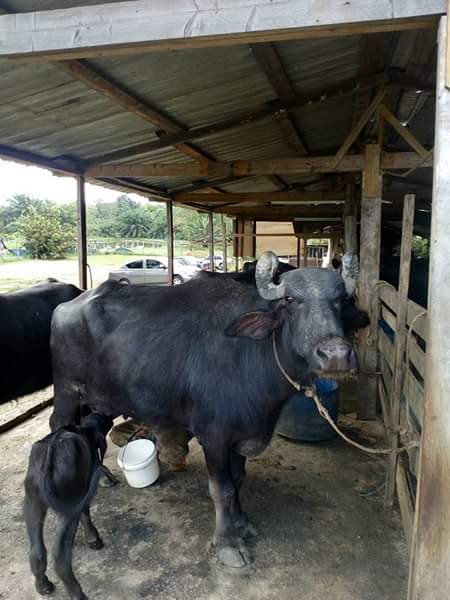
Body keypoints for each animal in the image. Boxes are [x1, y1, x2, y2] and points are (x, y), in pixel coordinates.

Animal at [24, 414, 114, 596]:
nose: (111, 419)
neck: (83, 429)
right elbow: (86, 514)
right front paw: (94, 539)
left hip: (32, 501)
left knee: (36, 549)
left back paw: (43, 585)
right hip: (68, 506)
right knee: (60, 555)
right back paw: (78, 594)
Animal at [49, 252, 368, 568]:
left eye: (341, 300)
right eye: (290, 300)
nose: (336, 355)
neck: (251, 355)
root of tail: (66, 308)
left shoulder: (242, 433)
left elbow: (238, 480)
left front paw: (241, 522)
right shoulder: (214, 437)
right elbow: (222, 489)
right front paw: (227, 542)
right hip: (66, 394)